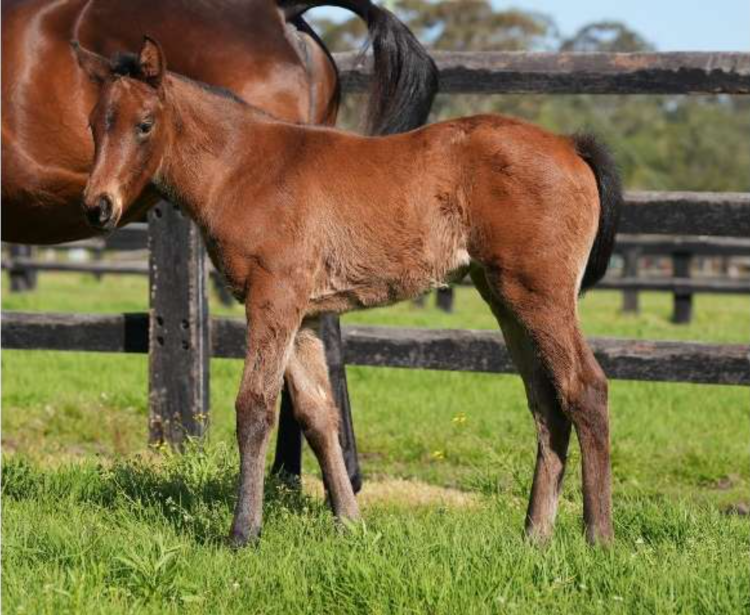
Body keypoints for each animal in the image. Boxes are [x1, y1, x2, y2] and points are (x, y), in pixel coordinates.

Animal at [75, 37, 622, 547]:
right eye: (94, 124)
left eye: (145, 124)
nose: (98, 206)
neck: (243, 168)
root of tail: (569, 144)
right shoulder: (305, 316)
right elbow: (318, 414)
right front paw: (351, 523)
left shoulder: (273, 298)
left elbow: (255, 407)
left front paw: (244, 531)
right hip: (505, 299)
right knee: (547, 405)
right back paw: (535, 535)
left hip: (540, 294)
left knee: (585, 388)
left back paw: (597, 536)